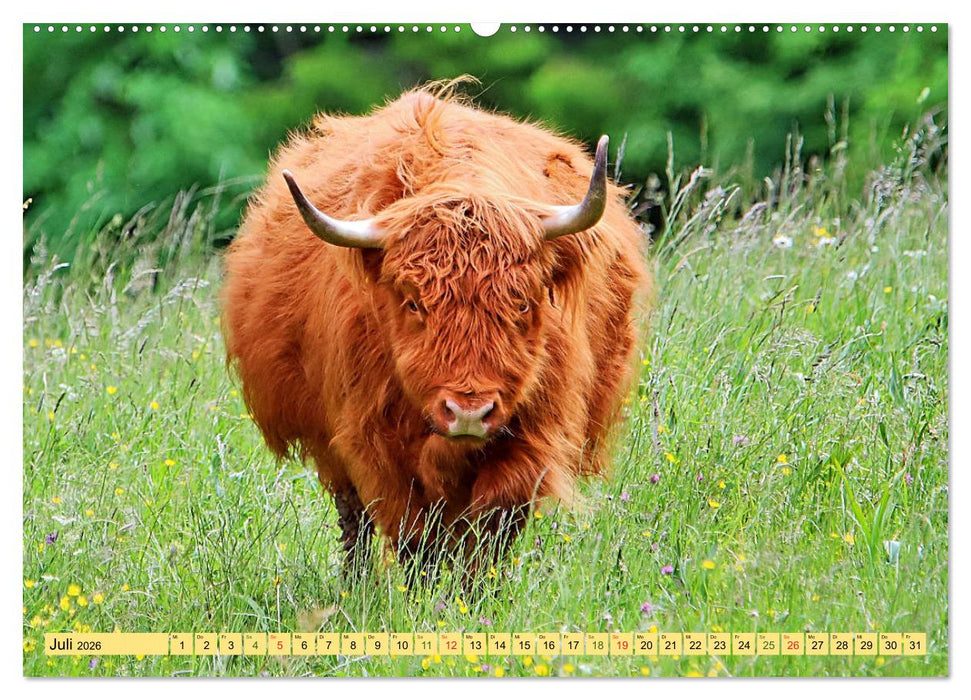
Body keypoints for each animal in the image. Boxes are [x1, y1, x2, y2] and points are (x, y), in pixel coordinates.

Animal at [221, 84, 651, 577]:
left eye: (522, 302)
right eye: (413, 302)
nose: (468, 412)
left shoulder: (529, 443)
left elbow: (489, 538)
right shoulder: (375, 448)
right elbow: (415, 540)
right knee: (354, 522)